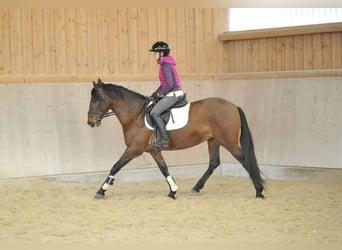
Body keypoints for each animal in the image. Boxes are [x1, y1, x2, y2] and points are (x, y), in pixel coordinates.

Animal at [86, 79, 264, 200]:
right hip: (213, 140)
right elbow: (164, 169)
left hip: (229, 142)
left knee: (244, 160)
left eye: (95, 100)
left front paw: (101, 191)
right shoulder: (152, 150)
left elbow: (115, 167)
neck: (135, 114)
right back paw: (196, 188)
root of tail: (233, 106)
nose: (90, 122)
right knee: (213, 163)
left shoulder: (134, 149)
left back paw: (259, 191)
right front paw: (173, 190)